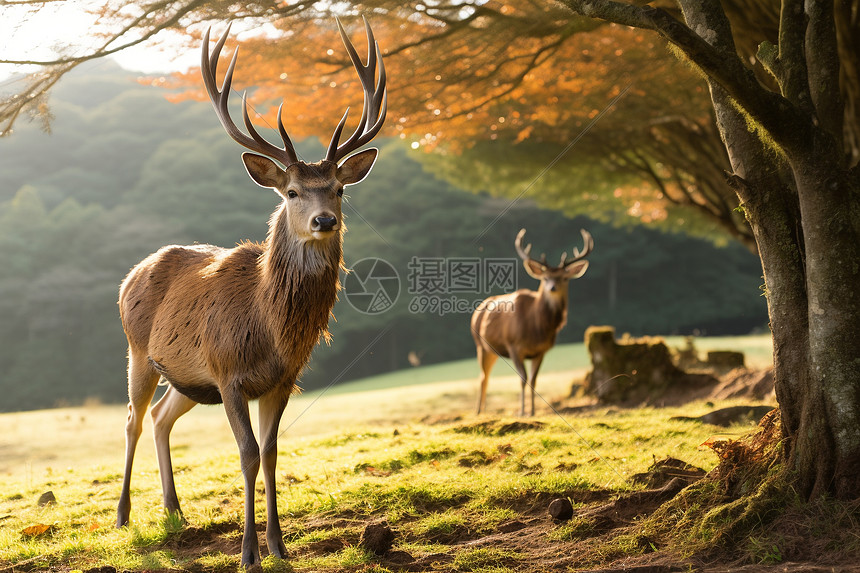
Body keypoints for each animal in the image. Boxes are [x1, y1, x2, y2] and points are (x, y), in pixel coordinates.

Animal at [115, 17, 386, 564]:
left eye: (339, 189)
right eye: (292, 191)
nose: (324, 221)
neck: (269, 328)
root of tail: (130, 274)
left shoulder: (281, 380)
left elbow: (273, 452)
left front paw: (280, 546)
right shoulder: (229, 373)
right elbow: (246, 453)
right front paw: (247, 553)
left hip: (186, 378)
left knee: (159, 416)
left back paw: (174, 510)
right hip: (137, 349)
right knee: (132, 417)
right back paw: (124, 514)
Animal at [470, 228, 592, 416]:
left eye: (564, 278)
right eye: (545, 277)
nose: (552, 288)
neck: (536, 328)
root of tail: (478, 309)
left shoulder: (541, 351)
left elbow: (534, 380)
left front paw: (533, 411)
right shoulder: (513, 346)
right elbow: (523, 379)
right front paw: (522, 411)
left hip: (492, 351)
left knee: (485, 376)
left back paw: (483, 409)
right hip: (481, 346)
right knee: (483, 377)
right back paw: (478, 411)